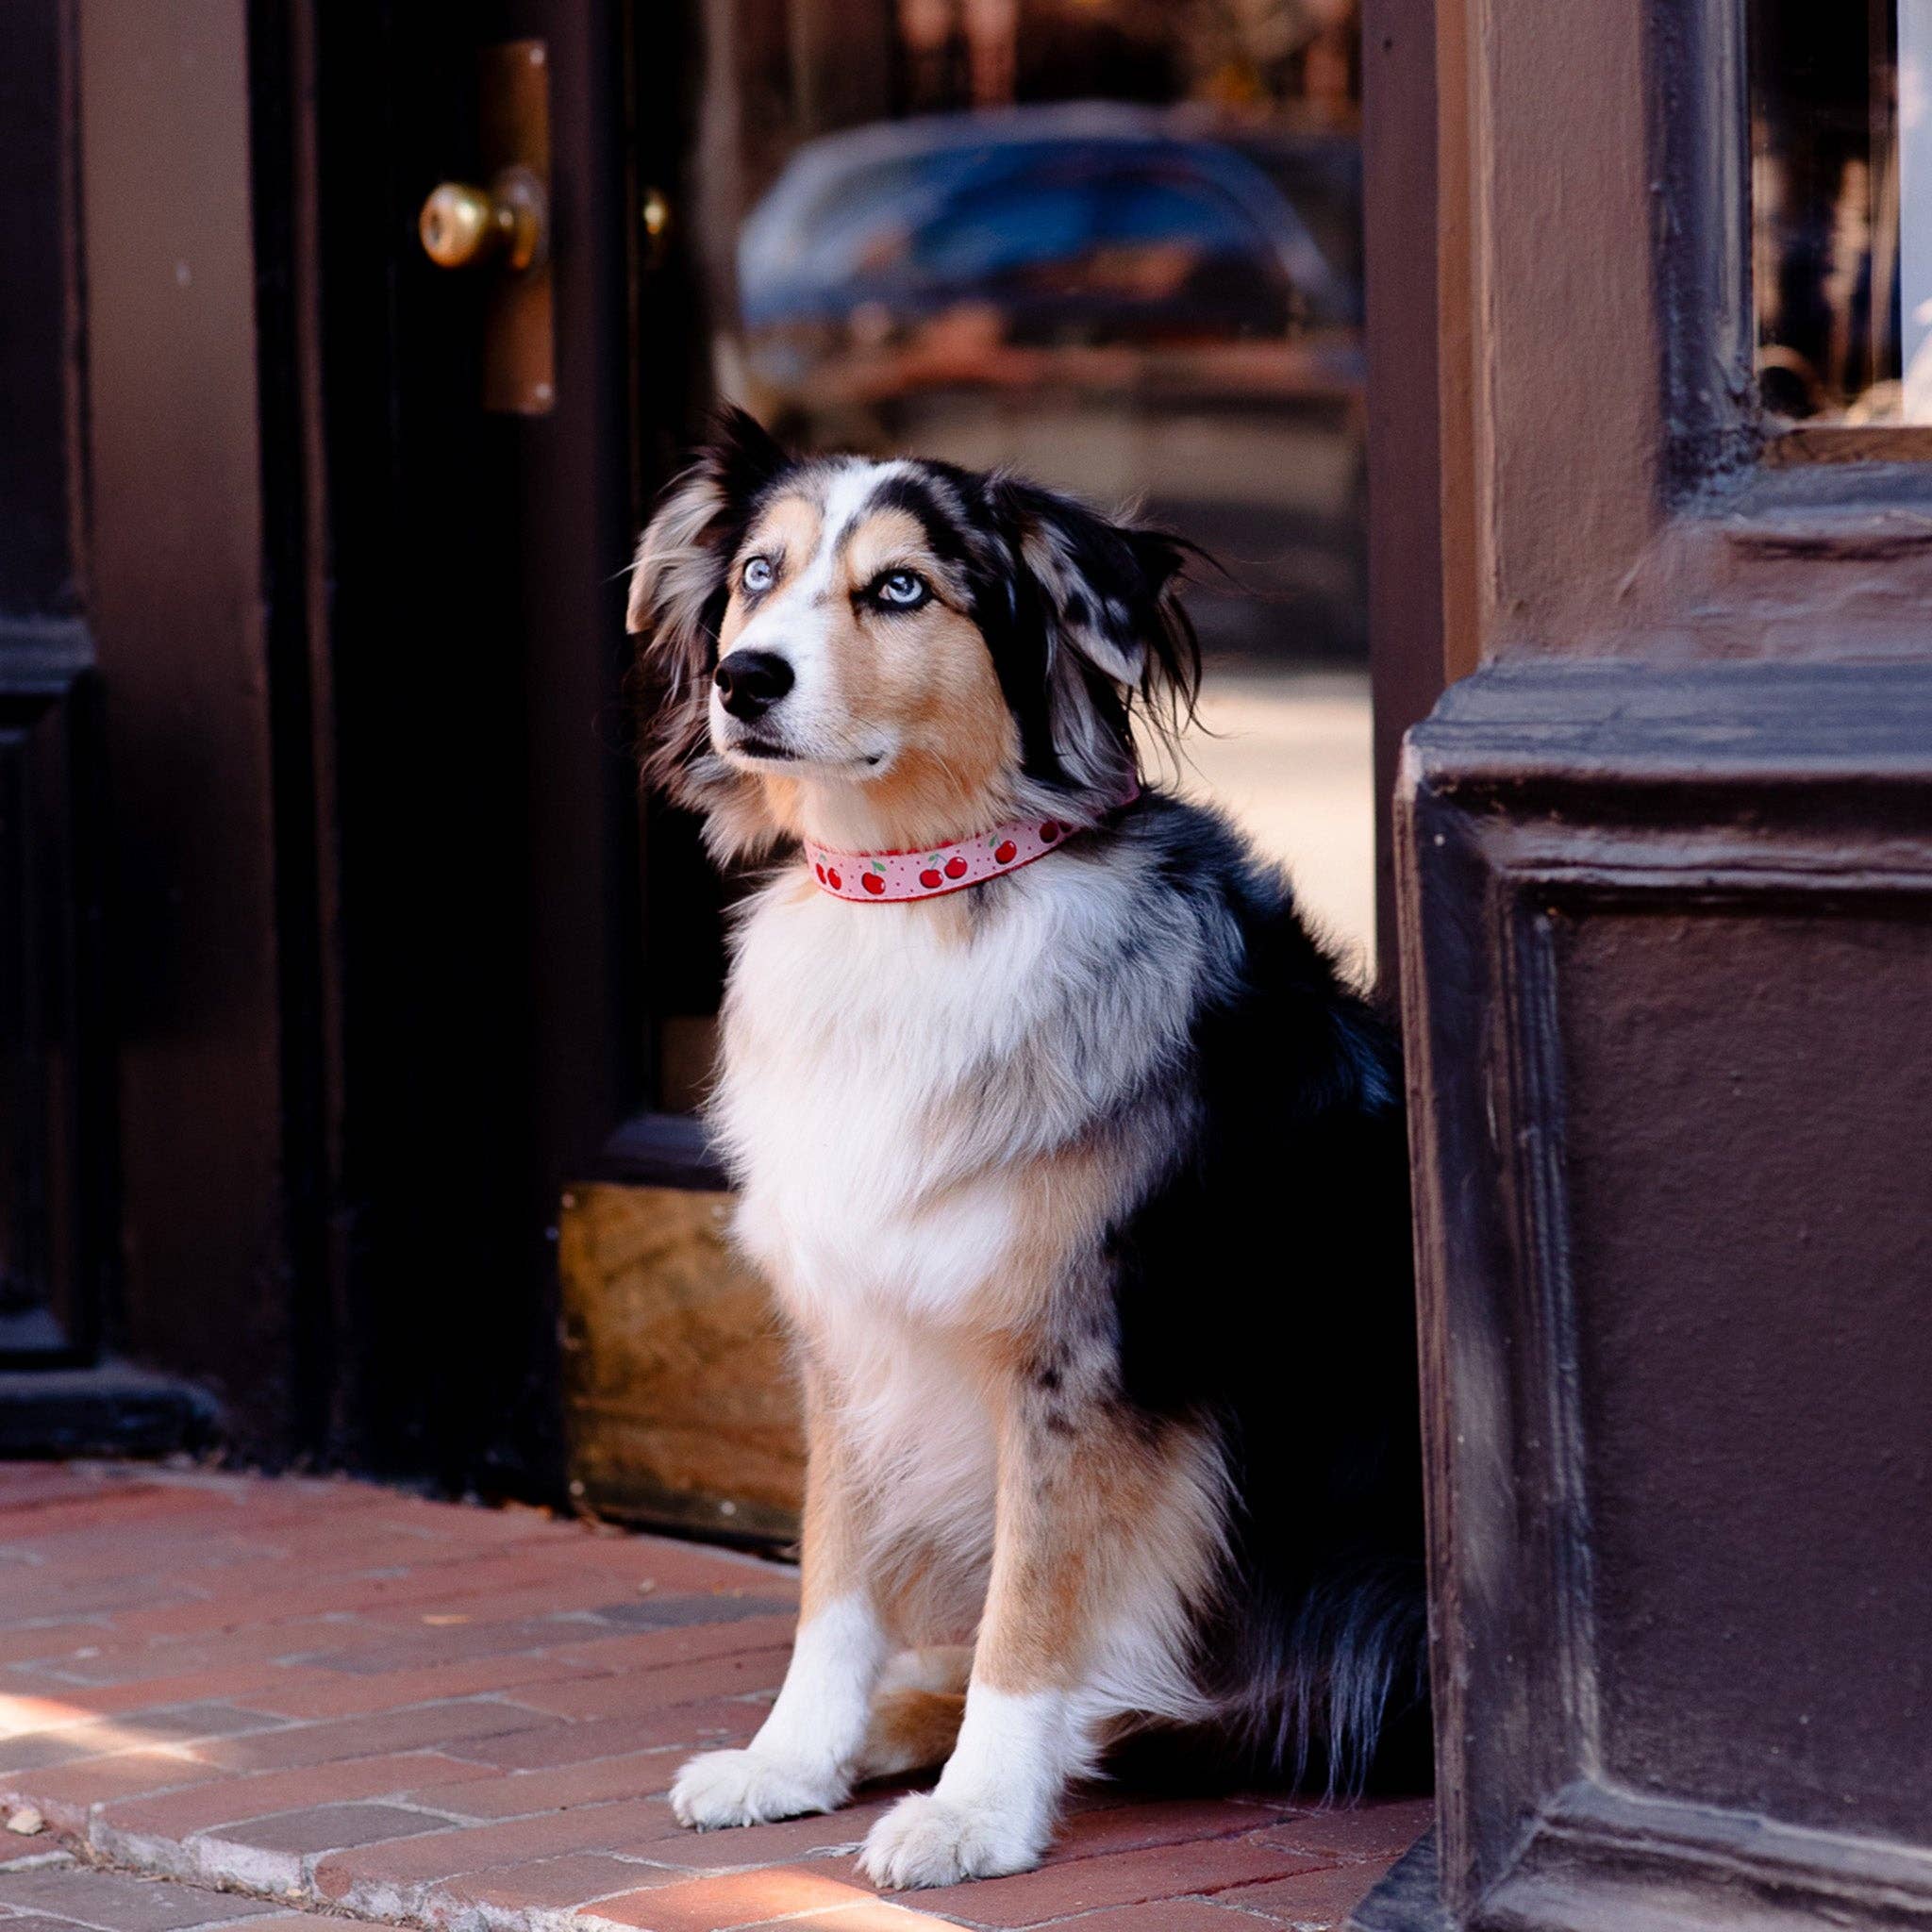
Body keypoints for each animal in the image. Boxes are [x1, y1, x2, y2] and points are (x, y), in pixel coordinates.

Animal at [625, 411, 1429, 1885]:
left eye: (900, 588)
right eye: (760, 573)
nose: (742, 676)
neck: (917, 899)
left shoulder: (1084, 1356)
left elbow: (1035, 1606)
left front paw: (980, 1812)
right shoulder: (850, 1331)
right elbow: (834, 1577)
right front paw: (793, 1756)